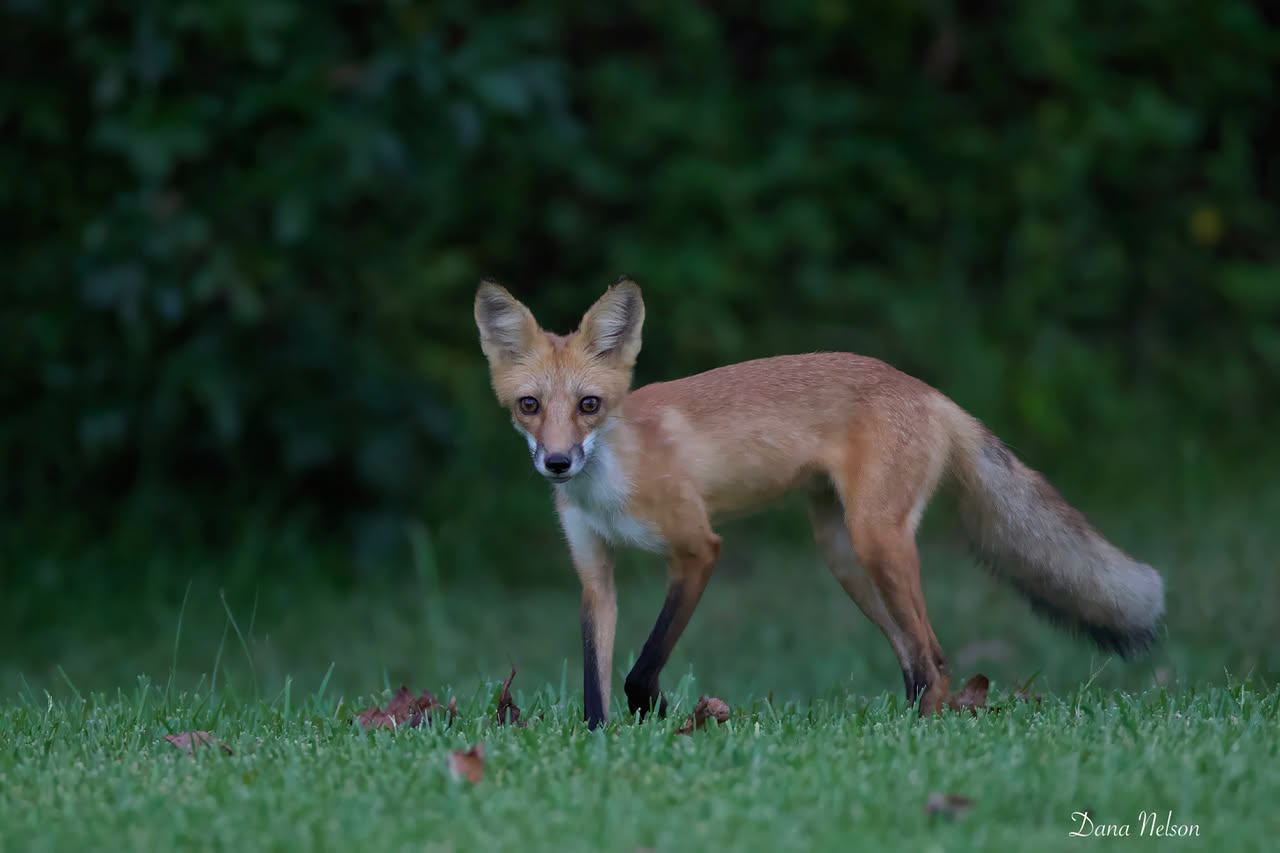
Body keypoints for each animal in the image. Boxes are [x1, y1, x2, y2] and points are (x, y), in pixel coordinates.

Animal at [474, 277, 1166, 729]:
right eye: (529, 406)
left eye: (589, 405)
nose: (558, 463)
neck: (609, 484)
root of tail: (929, 391)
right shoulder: (596, 573)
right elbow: (595, 680)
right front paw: (603, 742)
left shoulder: (698, 549)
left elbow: (640, 670)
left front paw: (662, 721)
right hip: (845, 556)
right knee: (912, 656)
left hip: (878, 542)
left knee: (936, 658)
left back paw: (926, 734)